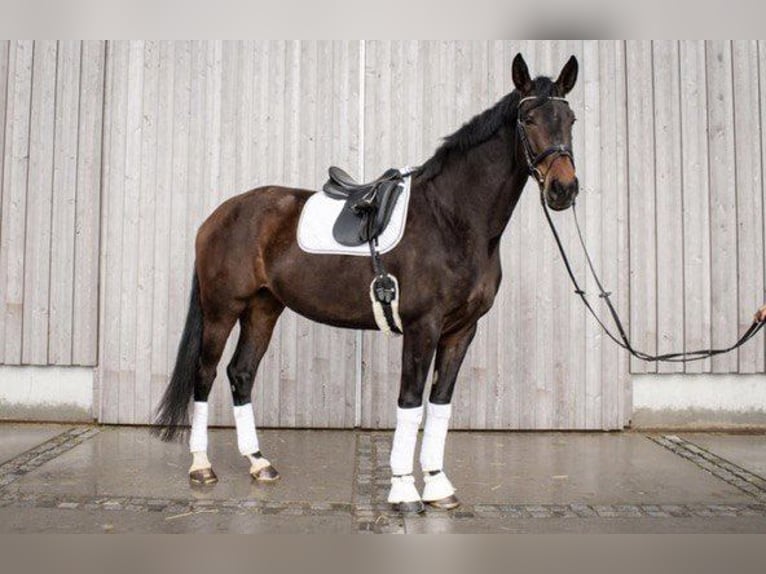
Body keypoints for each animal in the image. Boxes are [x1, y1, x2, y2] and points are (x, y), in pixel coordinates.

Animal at [153, 53, 580, 513]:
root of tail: (218, 215)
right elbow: (410, 403)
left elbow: (439, 404)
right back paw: (201, 467)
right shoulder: (422, 327)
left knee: (241, 373)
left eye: (570, 118)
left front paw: (438, 486)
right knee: (206, 373)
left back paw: (259, 463)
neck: (452, 219)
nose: (564, 189)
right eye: (529, 119)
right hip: (222, 309)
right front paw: (404, 491)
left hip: (264, 308)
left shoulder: (462, 330)